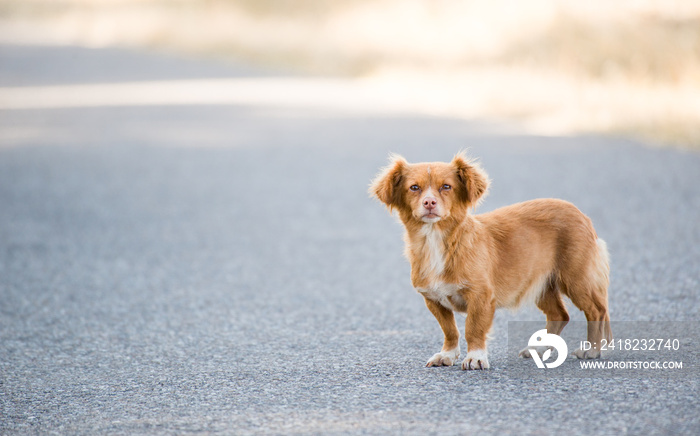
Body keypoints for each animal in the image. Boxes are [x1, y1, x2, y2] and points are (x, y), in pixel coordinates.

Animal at [370, 152, 608, 370]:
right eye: (414, 188)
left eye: (446, 187)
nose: (429, 202)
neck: (437, 241)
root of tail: (579, 213)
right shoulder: (433, 299)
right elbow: (450, 330)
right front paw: (447, 354)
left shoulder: (481, 296)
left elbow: (473, 328)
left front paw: (475, 358)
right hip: (542, 285)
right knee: (559, 315)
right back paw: (539, 349)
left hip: (575, 279)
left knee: (596, 311)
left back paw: (592, 350)